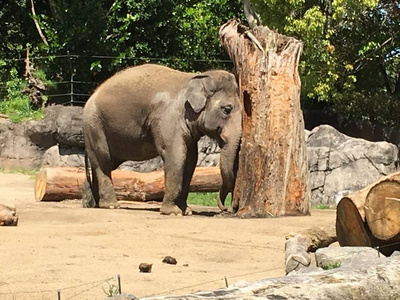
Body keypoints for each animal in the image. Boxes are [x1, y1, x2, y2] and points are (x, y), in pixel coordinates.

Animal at [82, 63, 241, 214]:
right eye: (227, 109)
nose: (227, 209)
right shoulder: (167, 117)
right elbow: (176, 155)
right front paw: (173, 213)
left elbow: (191, 160)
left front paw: (186, 211)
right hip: (94, 125)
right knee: (103, 160)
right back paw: (110, 206)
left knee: (103, 163)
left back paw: (92, 204)